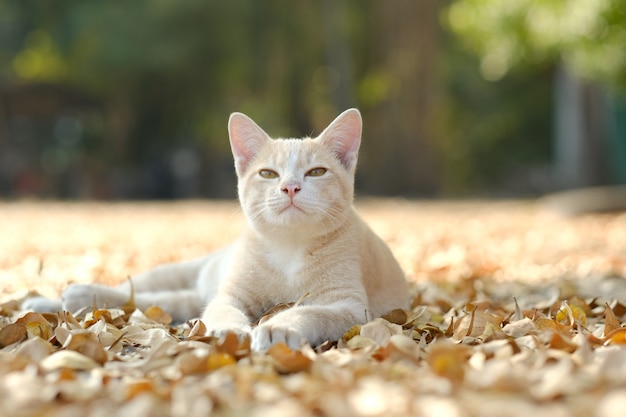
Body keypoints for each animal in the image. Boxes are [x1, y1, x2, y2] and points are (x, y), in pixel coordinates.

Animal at [22, 109, 408, 350]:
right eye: (268, 174)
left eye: (316, 172)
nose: (290, 187)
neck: (288, 249)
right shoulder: (229, 295)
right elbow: (223, 312)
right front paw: (232, 331)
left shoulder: (349, 306)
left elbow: (309, 310)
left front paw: (279, 326)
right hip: (178, 275)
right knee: (133, 291)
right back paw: (65, 295)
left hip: (189, 296)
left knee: (159, 301)